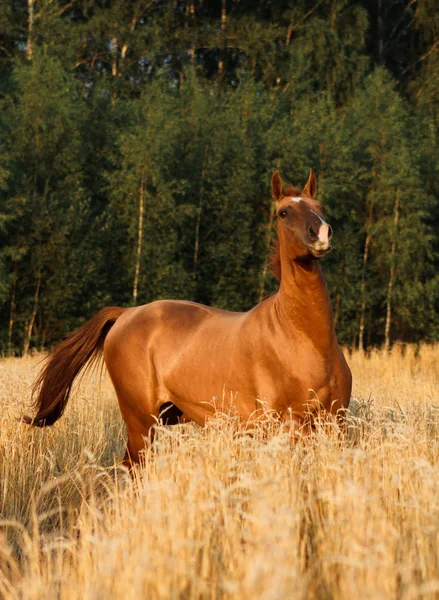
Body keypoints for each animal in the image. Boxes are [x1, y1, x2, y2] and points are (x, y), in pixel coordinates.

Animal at [24, 171, 354, 466]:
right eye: (284, 212)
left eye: (320, 207)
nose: (321, 234)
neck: (304, 338)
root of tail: (126, 313)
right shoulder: (284, 425)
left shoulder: (335, 424)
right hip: (140, 420)